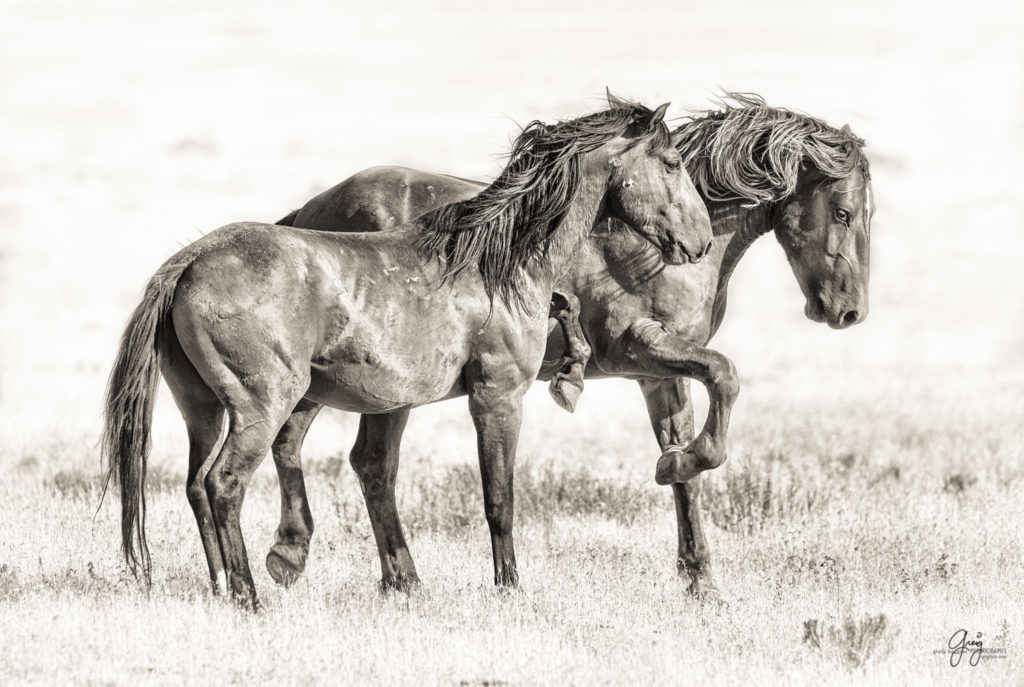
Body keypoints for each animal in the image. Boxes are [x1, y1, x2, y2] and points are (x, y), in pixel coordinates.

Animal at [101, 99, 712, 606]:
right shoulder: (497, 398)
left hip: (202, 411)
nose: (701, 241)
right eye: (672, 162)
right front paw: (510, 587)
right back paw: (250, 595)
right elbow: (499, 499)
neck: (500, 263)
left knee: (196, 487)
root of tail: (189, 262)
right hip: (261, 407)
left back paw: (223, 587)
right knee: (224, 483)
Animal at [262, 92, 872, 597]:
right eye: (843, 212)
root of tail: (311, 211)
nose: (849, 311)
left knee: (341, 455)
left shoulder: (661, 375)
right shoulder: (639, 349)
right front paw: (676, 473)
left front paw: (699, 574)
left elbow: (691, 467)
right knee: (351, 458)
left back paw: (369, 573)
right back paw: (324, 561)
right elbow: (725, 377)